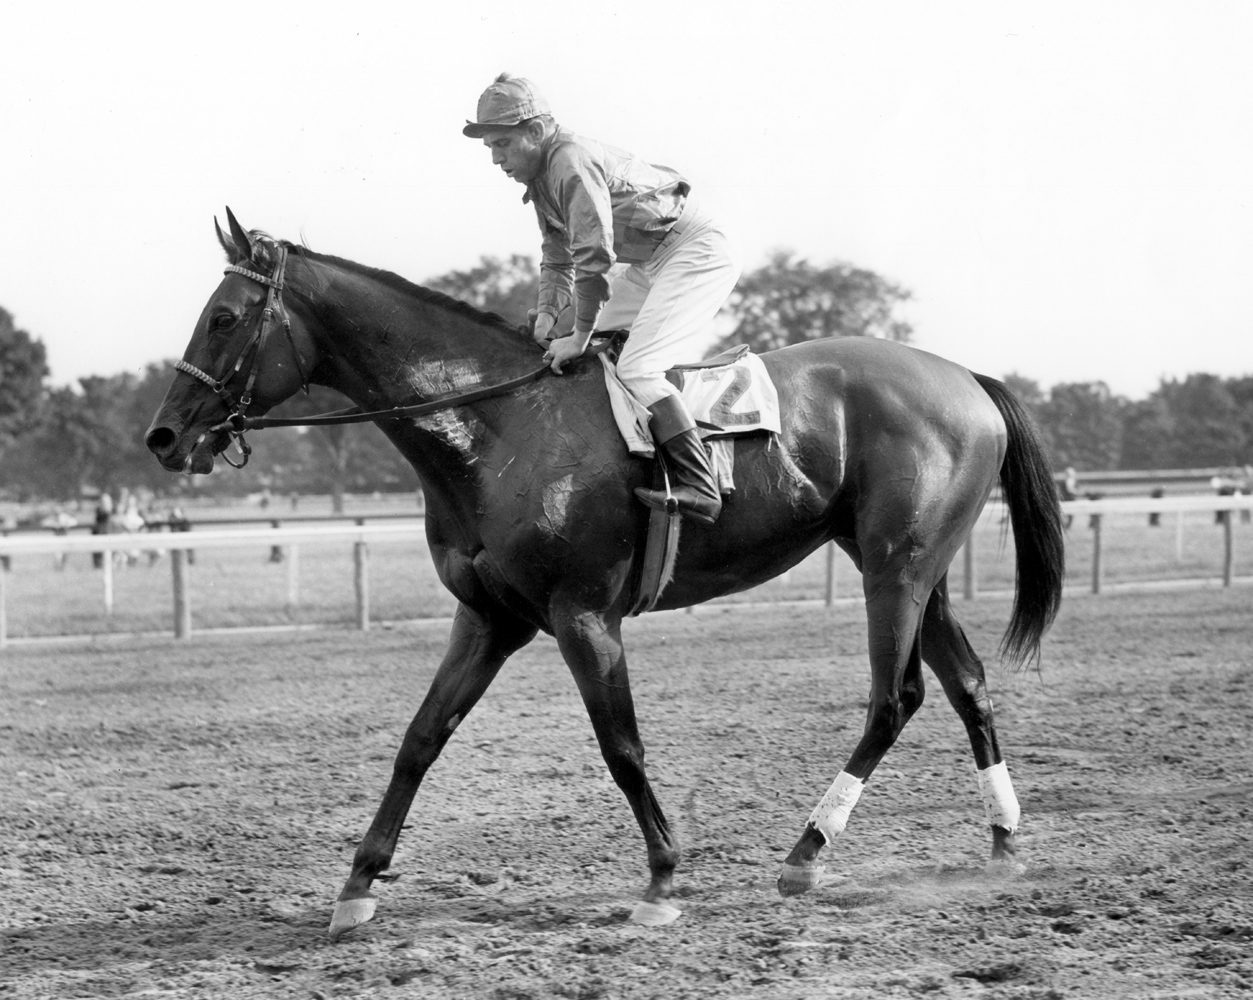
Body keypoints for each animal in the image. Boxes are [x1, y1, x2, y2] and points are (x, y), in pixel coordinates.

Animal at [149, 209, 1067, 942]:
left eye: (222, 317)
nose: (163, 437)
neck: (502, 426)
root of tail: (966, 377)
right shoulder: (489, 619)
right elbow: (419, 741)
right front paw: (356, 886)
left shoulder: (583, 615)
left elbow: (619, 745)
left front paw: (661, 879)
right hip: (913, 569)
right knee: (967, 684)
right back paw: (1003, 840)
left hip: (894, 571)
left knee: (894, 697)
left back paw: (806, 851)